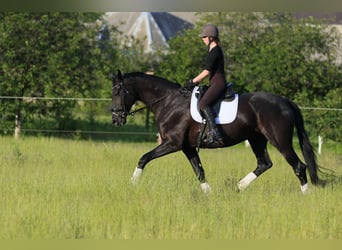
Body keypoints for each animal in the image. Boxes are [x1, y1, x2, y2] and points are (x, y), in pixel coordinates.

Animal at [111, 70, 320, 193]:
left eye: (117, 91)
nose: (115, 119)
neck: (168, 102)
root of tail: (286, 102)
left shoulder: (173, 143)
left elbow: (143, 158)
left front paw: (132, 184)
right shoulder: (187, 147)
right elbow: (199, 171)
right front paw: (209, 194)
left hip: (280, 141)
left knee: (299, 166)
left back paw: (306, 195)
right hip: (257, 139)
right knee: (264, 163)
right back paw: (238, 187)